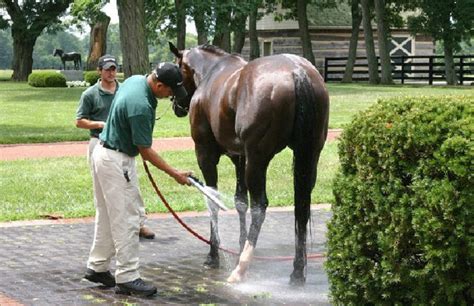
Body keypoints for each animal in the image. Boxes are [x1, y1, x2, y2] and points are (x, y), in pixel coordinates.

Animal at [170, 42, 330, 284]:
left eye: (177, 69)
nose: (176, 105)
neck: (210, 71)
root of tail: (296, 70)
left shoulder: (206, 154)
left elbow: (213, 201)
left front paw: (213, 255)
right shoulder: (240, 158)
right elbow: (240, 202)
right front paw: (238, 245)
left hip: (257, 160)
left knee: (259, 207)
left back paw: (241, 268)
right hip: (309, 155)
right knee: (301, 207)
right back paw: (297, 271)